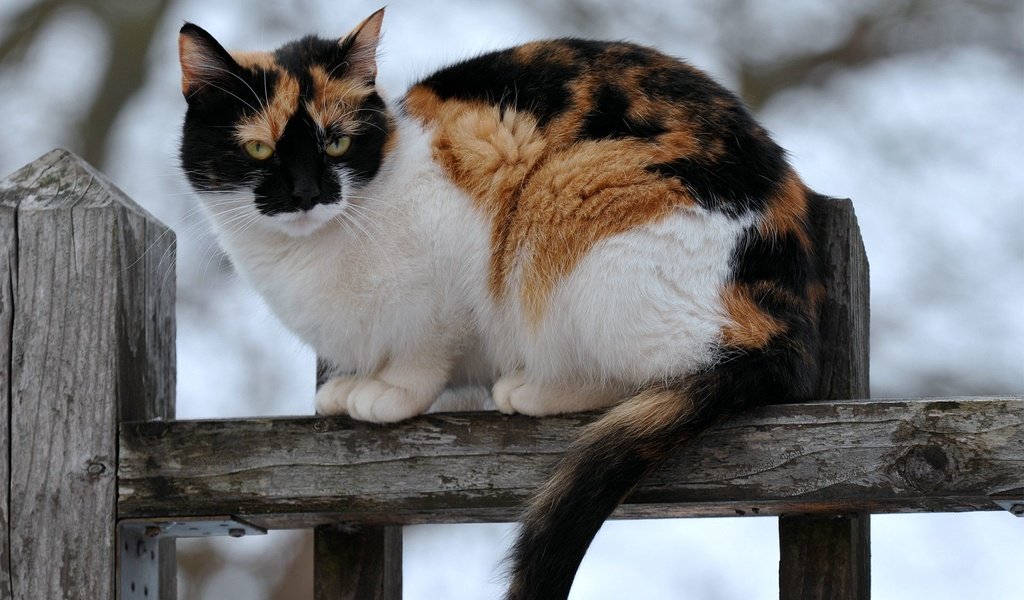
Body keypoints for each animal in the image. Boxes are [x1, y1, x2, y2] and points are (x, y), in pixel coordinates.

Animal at [178, 9, 823, 597]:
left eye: (337, 142)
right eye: (258, 150)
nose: (308, 194)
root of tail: (783, 326)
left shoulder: (459, 229)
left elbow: (423, 350)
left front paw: (390, 392)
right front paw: (351, 387)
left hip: (573, 199)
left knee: (653, 369)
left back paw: (532, 389)